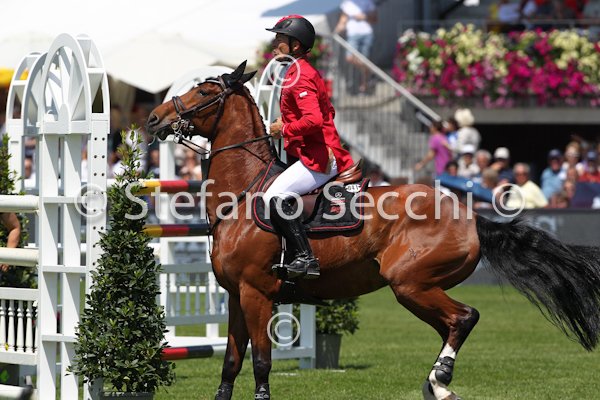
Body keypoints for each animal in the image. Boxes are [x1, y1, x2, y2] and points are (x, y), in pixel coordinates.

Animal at [146, 61, 600, 400]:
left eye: (204, 92)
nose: (153, 118)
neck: (242, 193)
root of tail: (470, 215)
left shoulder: (257, 294)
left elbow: (260, 361)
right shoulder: (237, 296)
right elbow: (231, 362)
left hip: (410, 283)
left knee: (464, 317)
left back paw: (440, 379)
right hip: (419, 288)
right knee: (452, 324)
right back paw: (437, 383)